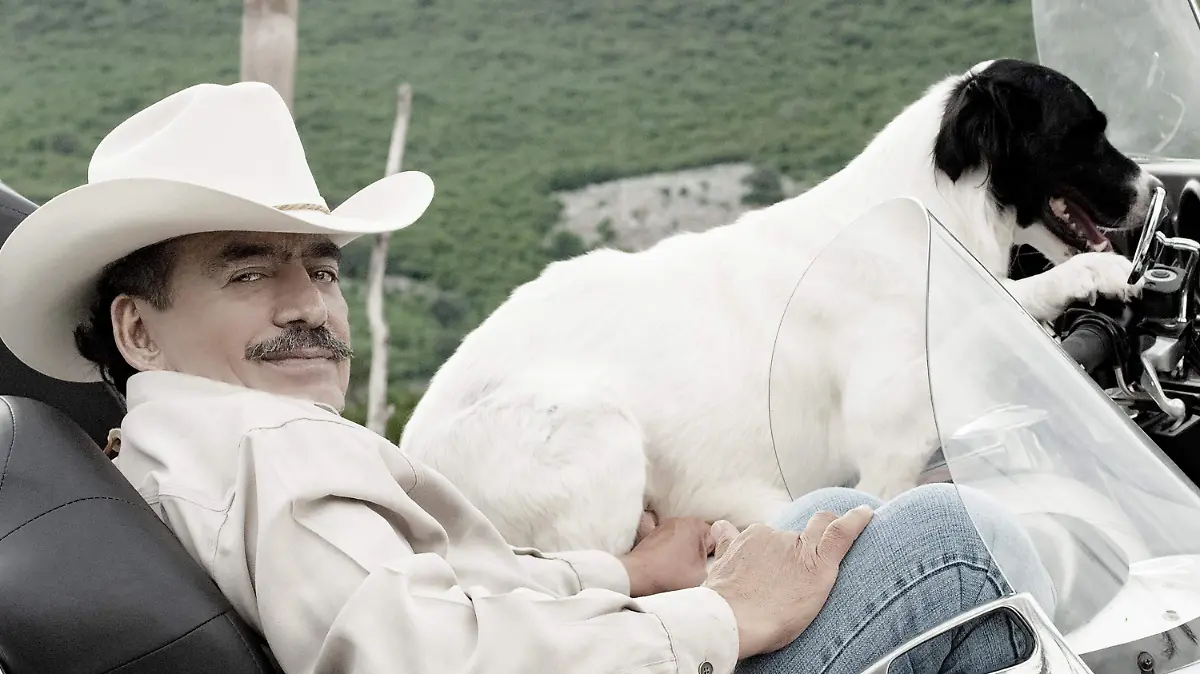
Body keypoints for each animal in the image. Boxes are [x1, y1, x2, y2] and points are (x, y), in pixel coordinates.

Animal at [398, 59, 1161, 556]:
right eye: (1088, 132)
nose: (1157, 190)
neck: (927, 216)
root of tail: (411, 453)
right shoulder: (886, 452)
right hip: (596, 430)